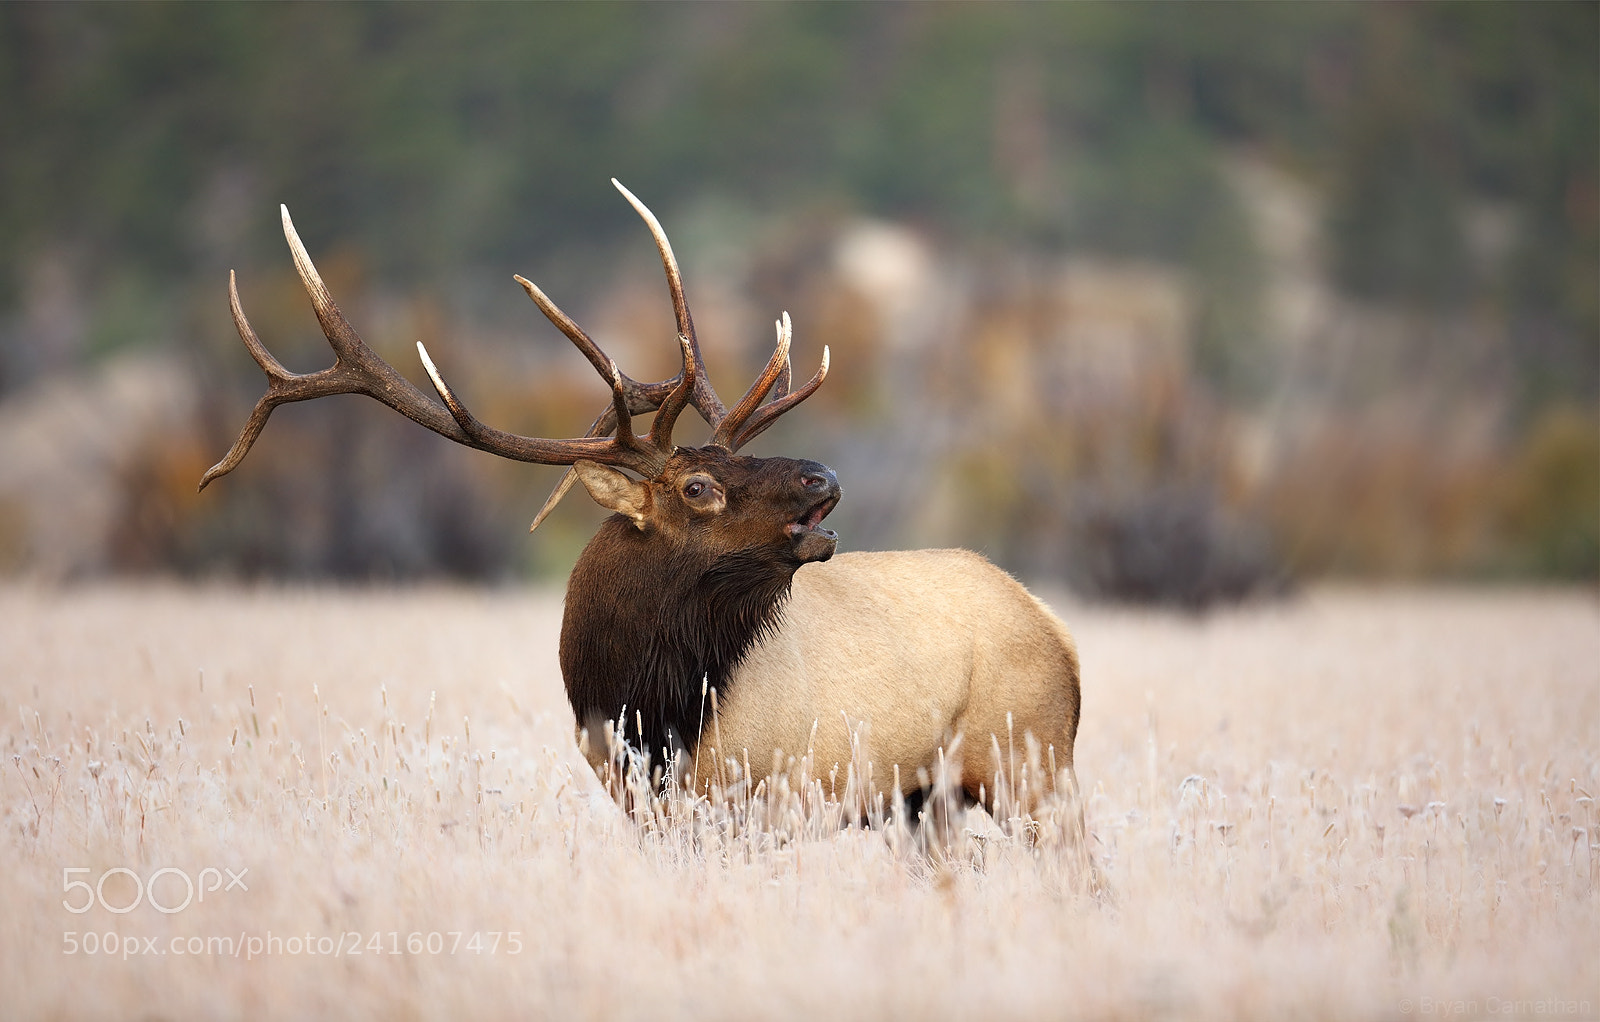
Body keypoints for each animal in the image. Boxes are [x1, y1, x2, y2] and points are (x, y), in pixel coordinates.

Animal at [199, 181, 1083, 832]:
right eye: (698, 486)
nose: (823, 475)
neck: (651, 710)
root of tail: (1059, 631)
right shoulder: (646, 806)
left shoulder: (769, 797)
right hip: (930, 801)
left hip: (1032, 765)